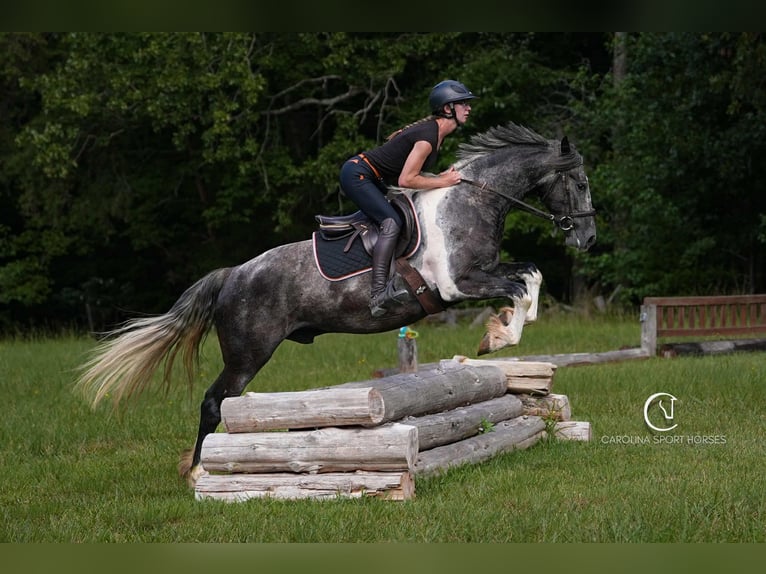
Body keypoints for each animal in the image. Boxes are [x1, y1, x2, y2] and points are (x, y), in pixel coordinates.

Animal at [76, 122, 597, 486]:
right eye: (581, 183)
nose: (588, 238)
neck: (468, 204)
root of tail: (232, 275)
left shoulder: (486, 271)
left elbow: (530, 275)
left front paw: (499, 331)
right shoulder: (459, 284)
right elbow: (521, 285)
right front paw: (500, 335)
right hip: (248, 353)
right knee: (213, 402)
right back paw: (200, 471)